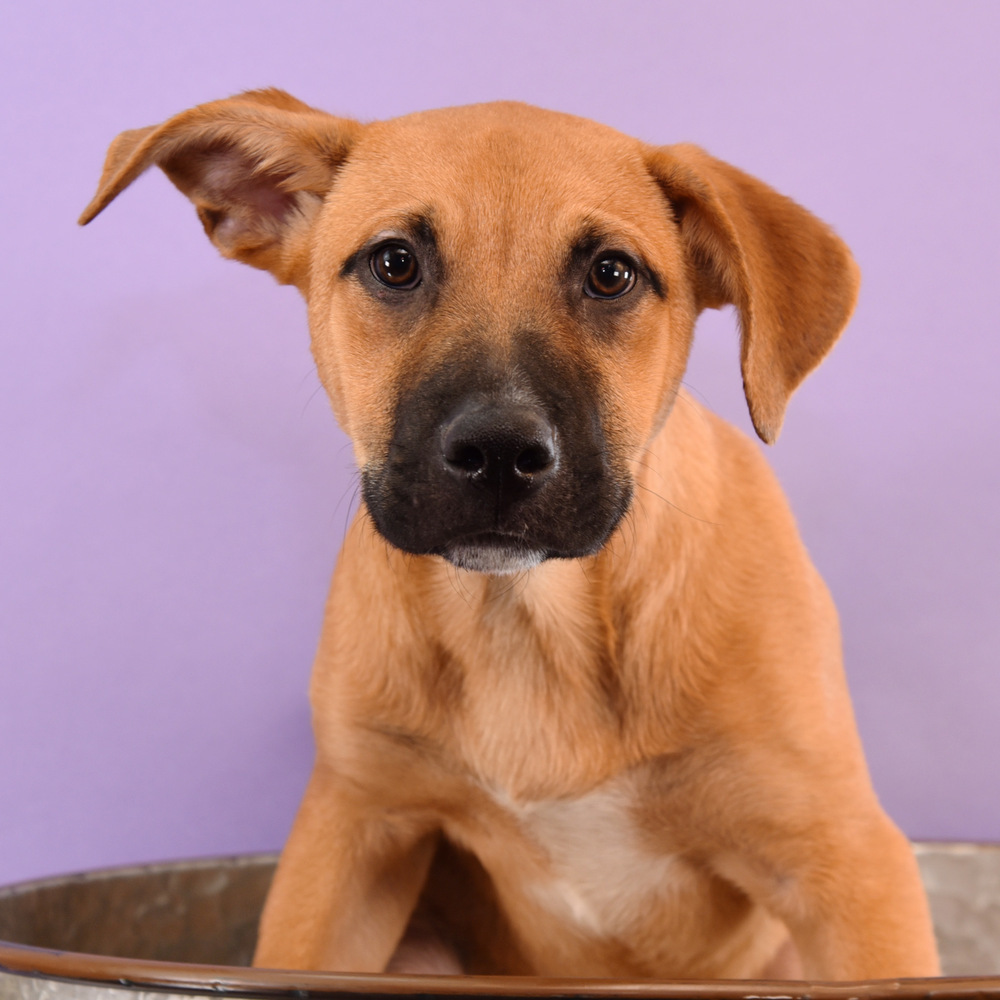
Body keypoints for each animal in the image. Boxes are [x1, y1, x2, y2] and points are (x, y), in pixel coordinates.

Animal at [82, 90, 940, 980]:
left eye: (611, 274)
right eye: (394, 263)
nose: (498, 453)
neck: (528, 618)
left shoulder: (845, 863)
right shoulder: (348, 834)